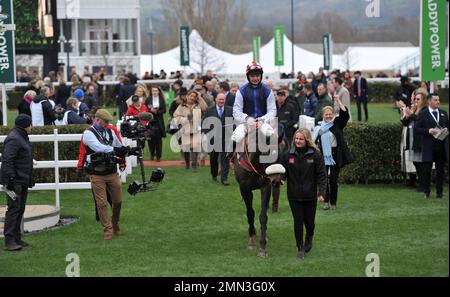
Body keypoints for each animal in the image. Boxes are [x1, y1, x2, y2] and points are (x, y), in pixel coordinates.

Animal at [232, 123, 284, 256]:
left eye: (280, 155)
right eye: (266, 154)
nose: (276, 181)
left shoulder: (266, 187)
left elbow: (263, 216)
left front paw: (262, 246)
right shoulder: (244, 188)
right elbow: (250, 213)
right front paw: (251, 241)